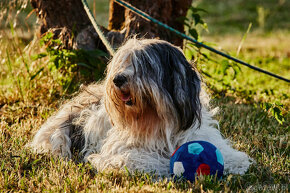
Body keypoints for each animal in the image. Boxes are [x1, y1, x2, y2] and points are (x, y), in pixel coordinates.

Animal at [30, 38, 251, 176]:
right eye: (122, 63)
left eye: (144, 64)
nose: (118, 79)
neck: (157, 121)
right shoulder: (120, 151)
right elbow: (132, 159)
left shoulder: (197, 135)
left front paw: (235, 162)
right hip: (57, 135)